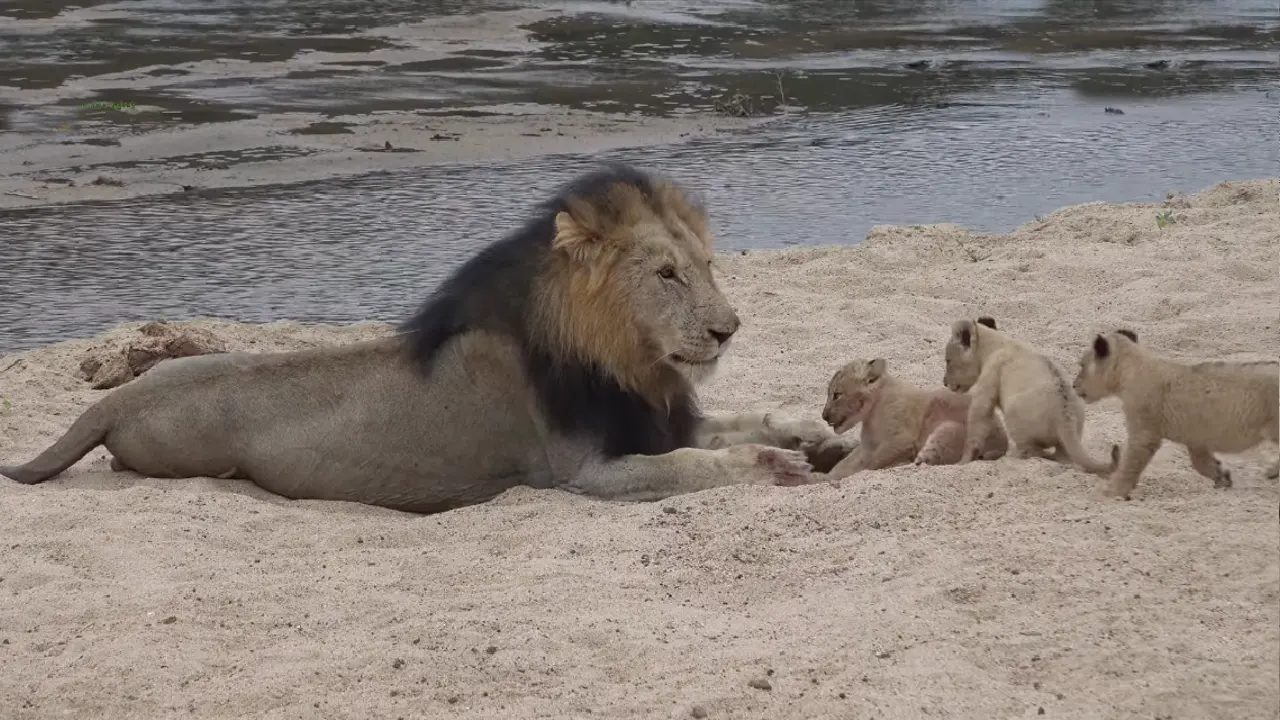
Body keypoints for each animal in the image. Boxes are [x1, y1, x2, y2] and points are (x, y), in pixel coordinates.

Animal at [0, 162, 829, 509]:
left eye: (707, 266)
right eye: (665, 274)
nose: (728, 329)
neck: (628, 361)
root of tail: (119, 398)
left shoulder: (660, 418)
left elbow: (750, 417)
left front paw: (811, 431)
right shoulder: (582, 472)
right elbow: (695, 465)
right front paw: (775, 465)